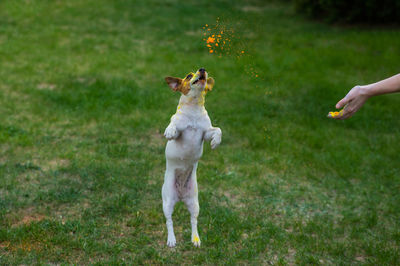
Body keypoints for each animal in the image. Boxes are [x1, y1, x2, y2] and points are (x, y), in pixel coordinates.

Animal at [162, 68, 222, 247]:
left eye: (205, 72)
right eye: (189, 76)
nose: (202, 70)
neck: (194, 109)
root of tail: (181, 197)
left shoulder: (206, 132)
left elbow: (217, 130)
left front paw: (216, 142)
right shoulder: (179, 130)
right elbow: (173, 126)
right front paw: (169, 131)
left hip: (194, 203)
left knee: (193, 220)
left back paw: (195, 238)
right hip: (167, 202)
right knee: (169, 221)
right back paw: (171, 239)